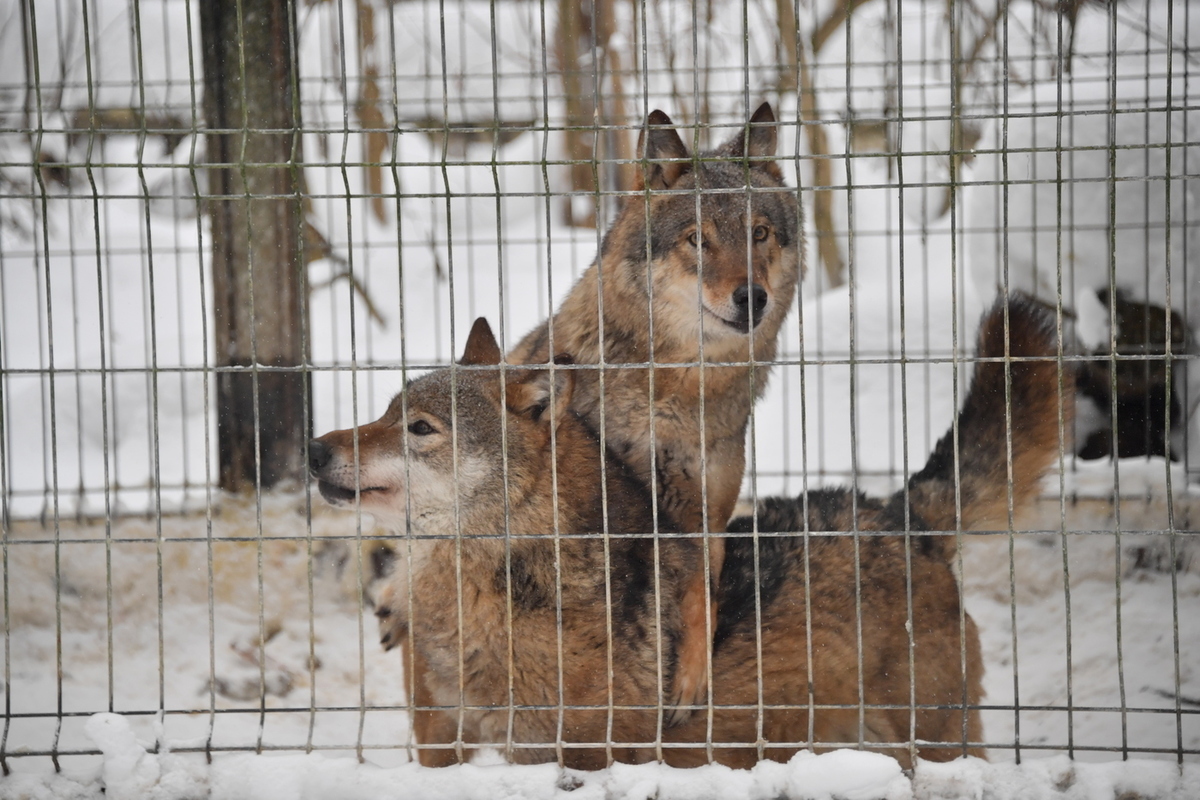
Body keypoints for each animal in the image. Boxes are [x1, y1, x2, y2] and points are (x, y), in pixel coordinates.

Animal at [314, 297, 1075, 772]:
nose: (316, 451)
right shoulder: (440, 743)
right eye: (383, 412)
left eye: (419, 428)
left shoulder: (580, 757)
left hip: (932, 742)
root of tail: (899, 512)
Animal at [501, 101, 801, 714]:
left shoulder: (706, 514)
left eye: (759, 233)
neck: (676, 400)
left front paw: (691, 680)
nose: (751, 298)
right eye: (697, 240)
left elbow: (702, 598)